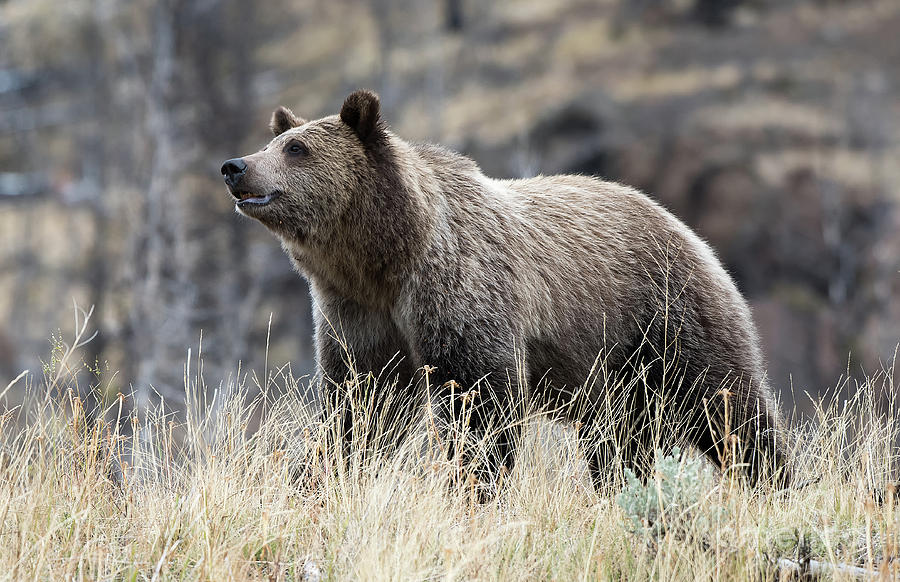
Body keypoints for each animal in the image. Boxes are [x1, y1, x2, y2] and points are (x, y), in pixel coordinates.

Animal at [221, 89, 792, 490]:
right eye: (272, 142)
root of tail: (681, 225)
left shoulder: (460, 293)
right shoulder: (360, 316)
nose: (235, 166)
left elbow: (480, 406)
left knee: (728, 407)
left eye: (297, 148)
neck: (386, 257)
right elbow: (361, 408)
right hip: (613, 376)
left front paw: (472, 488)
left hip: (663, 316)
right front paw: (316, 479)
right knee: (617, 443)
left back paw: (776, 484)